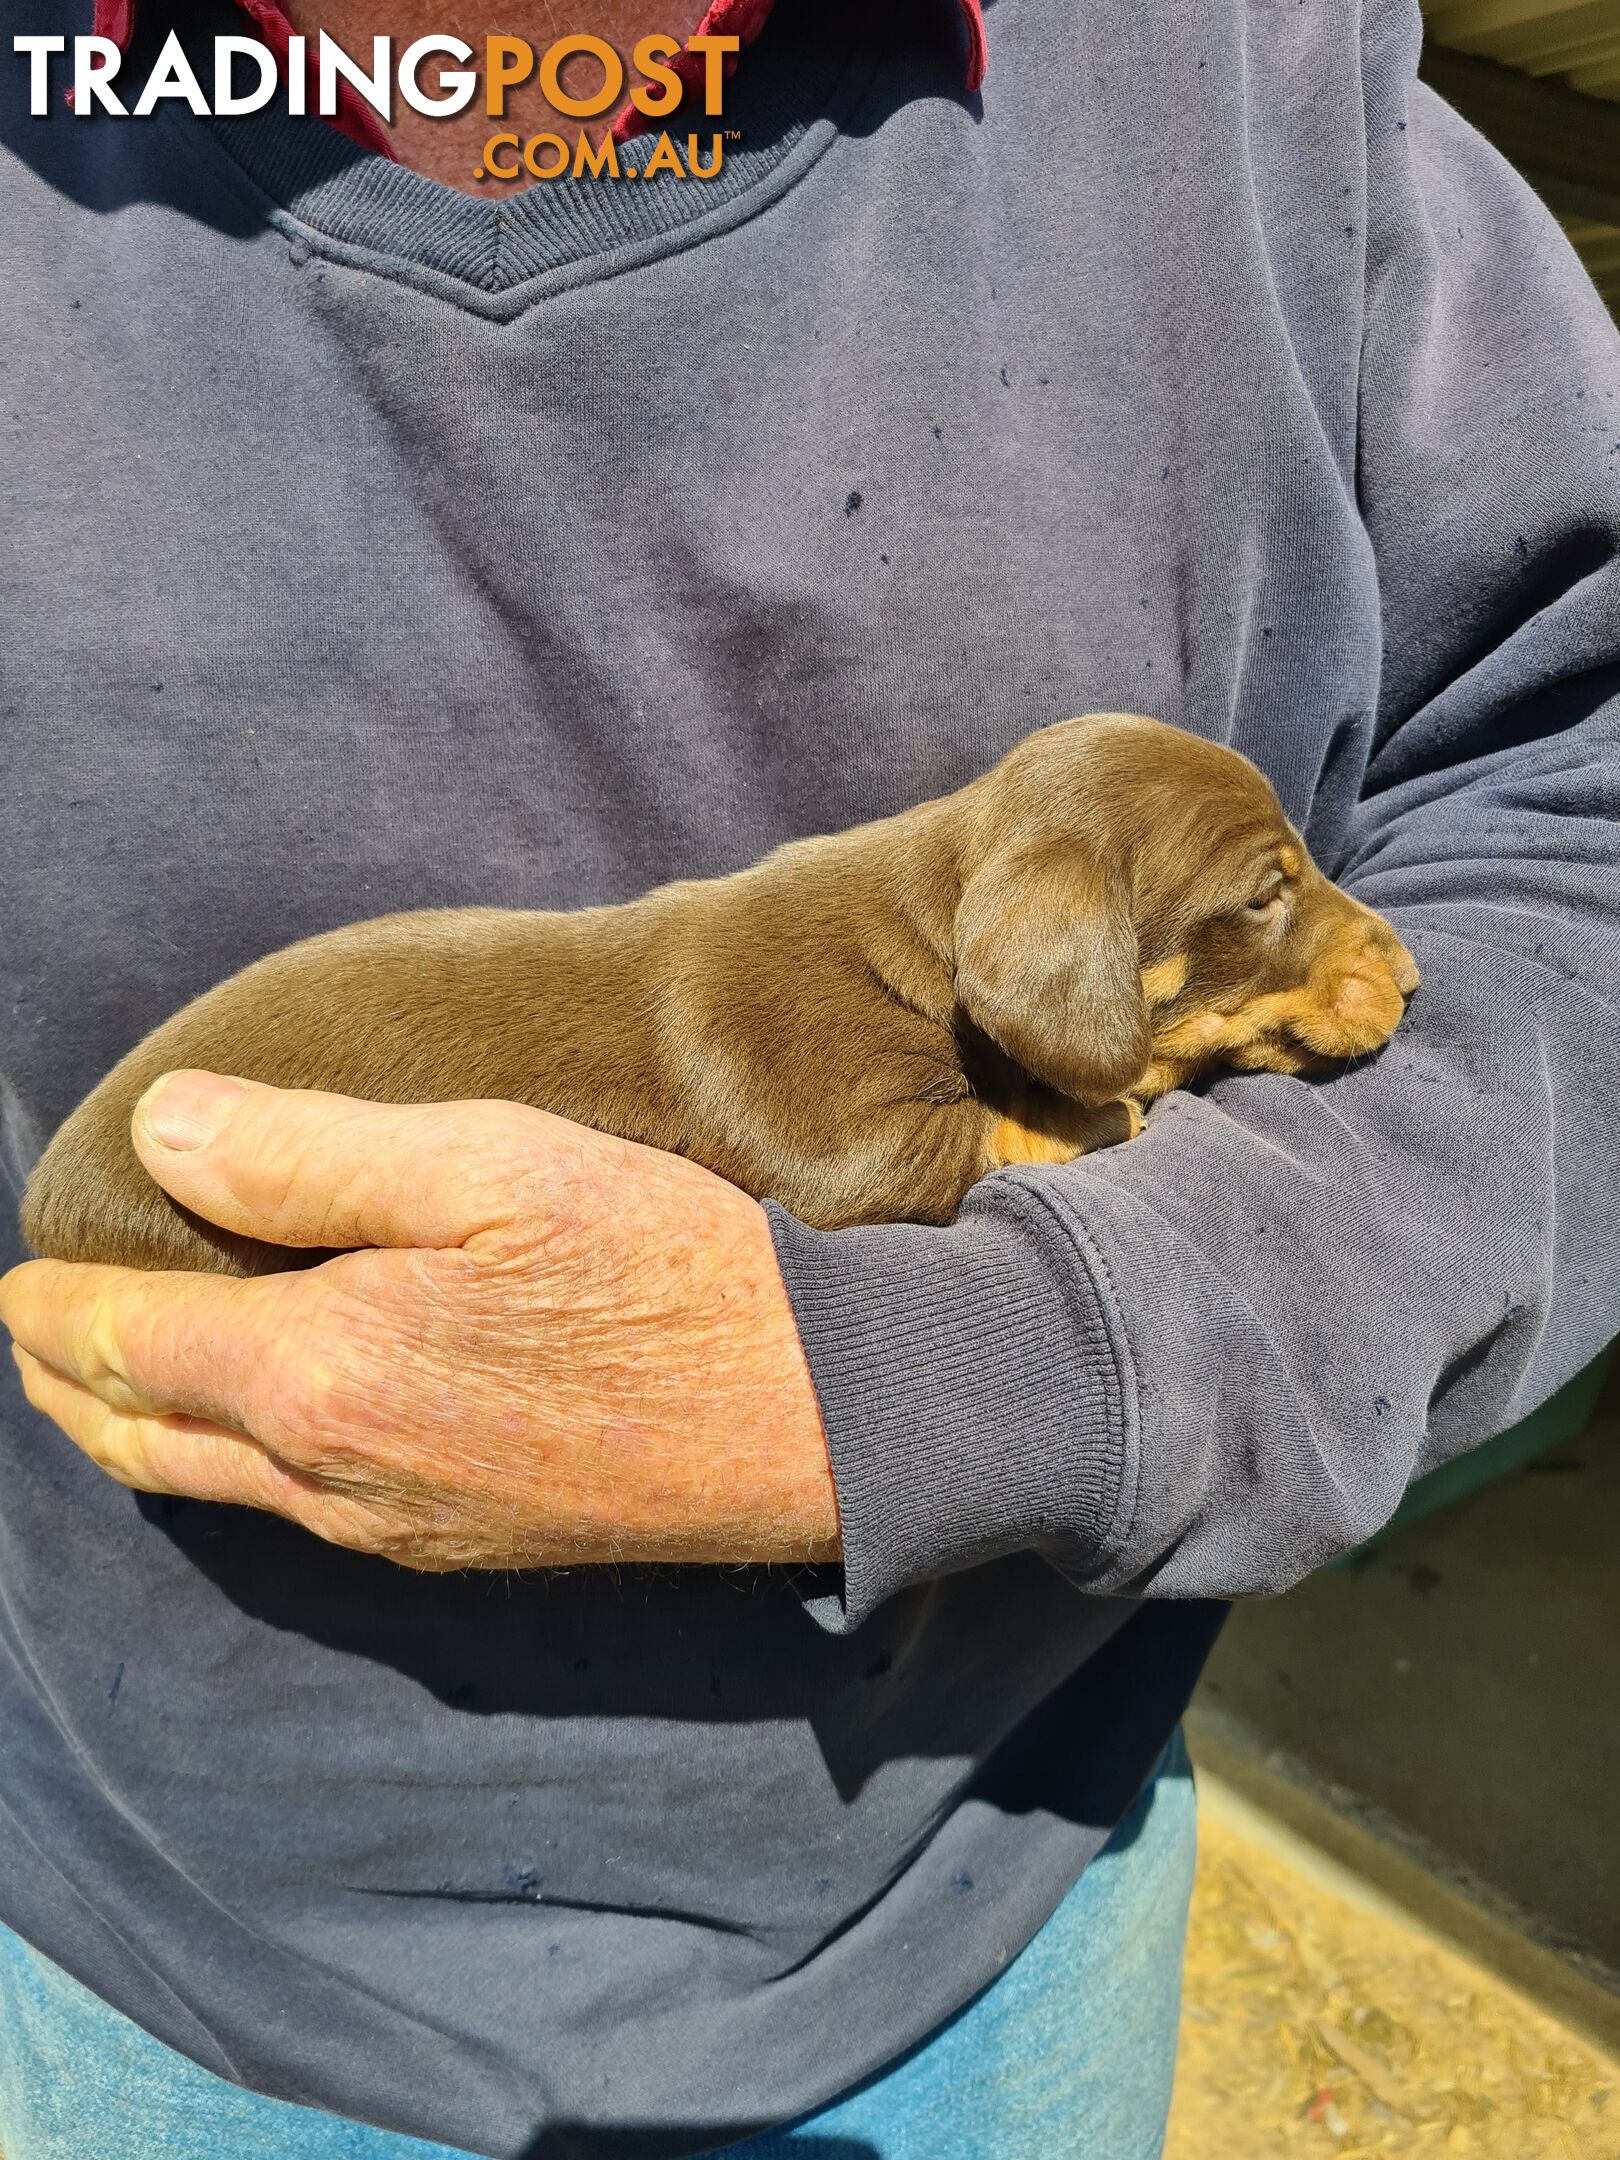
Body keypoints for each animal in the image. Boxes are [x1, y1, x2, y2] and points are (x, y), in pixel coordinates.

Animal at [22, 717, 1416, 1270]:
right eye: (1266, 894)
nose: (1409, 971)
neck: (925, 953)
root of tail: (41, 1201)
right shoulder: (834, 1139)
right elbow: (999, 1131)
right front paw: (1096, 1109)